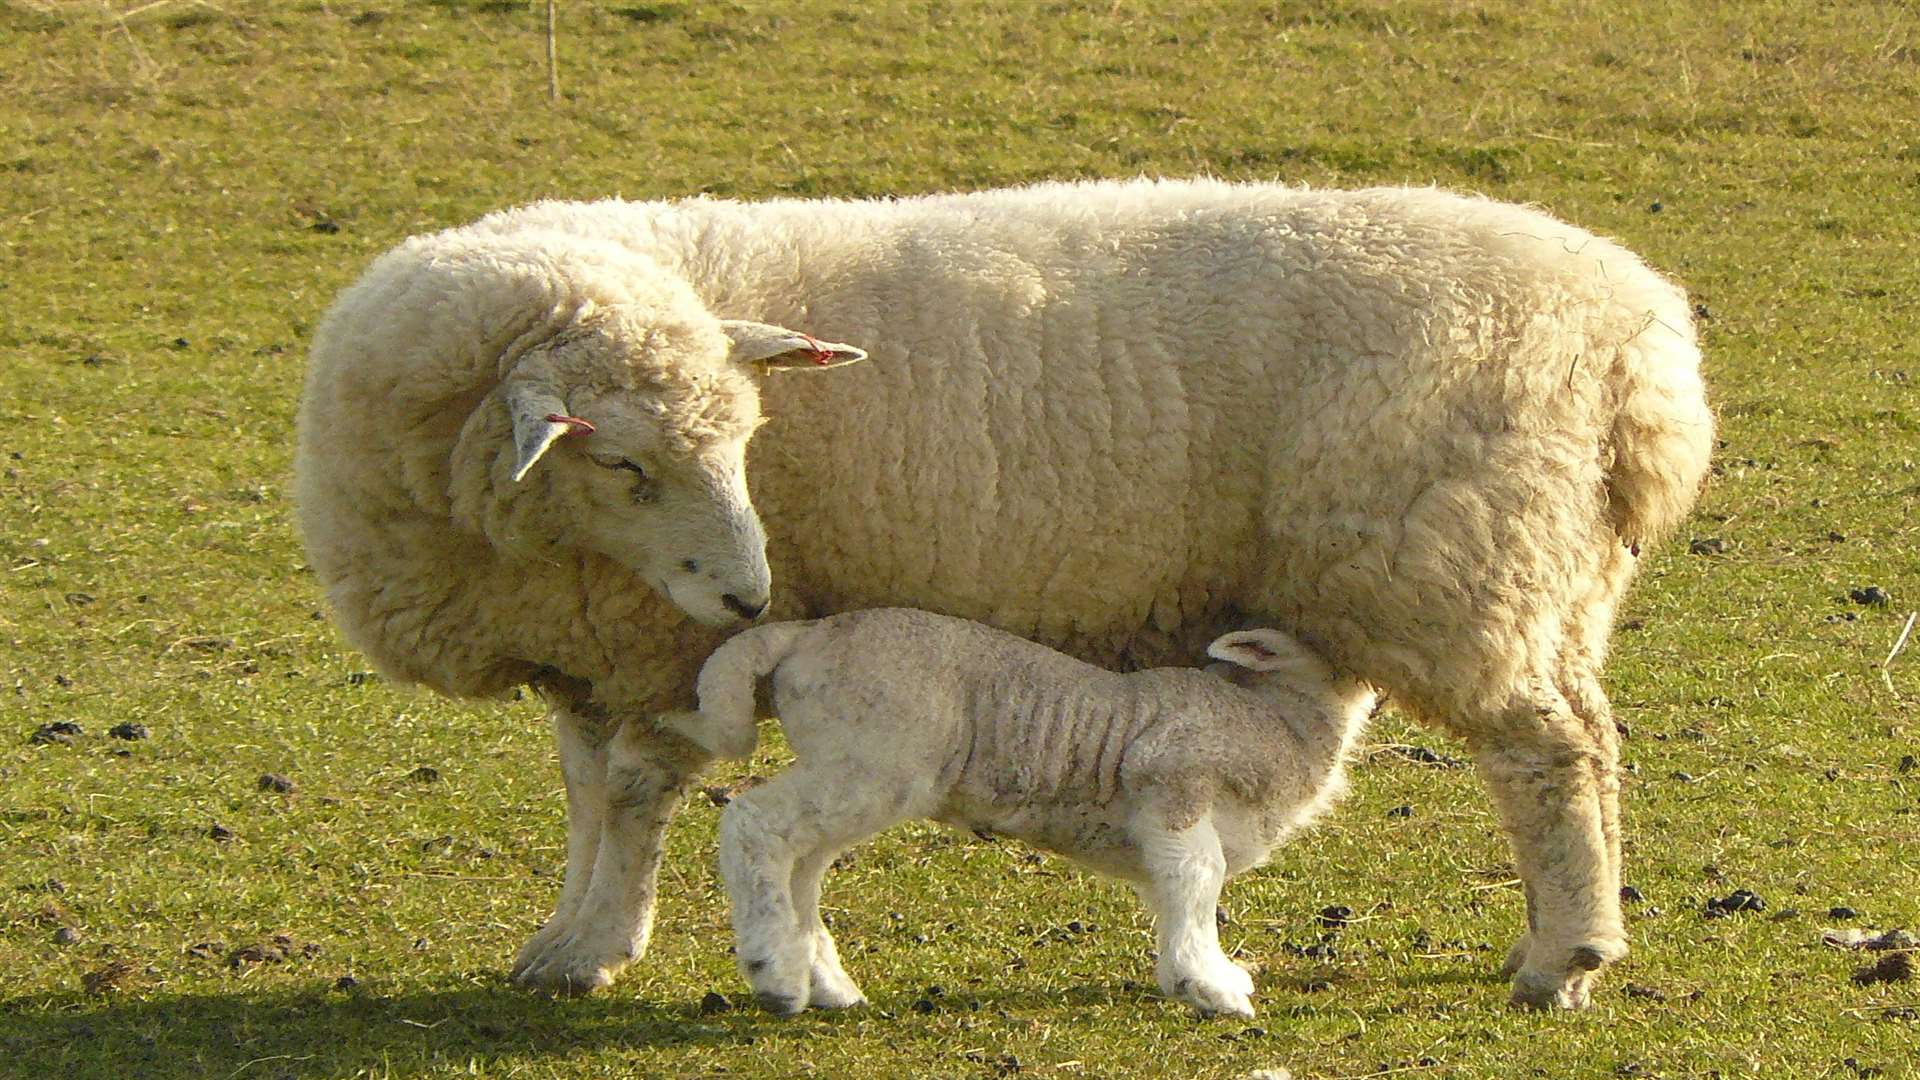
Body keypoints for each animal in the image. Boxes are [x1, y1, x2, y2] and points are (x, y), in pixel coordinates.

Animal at [668, 611, 1374, 1014]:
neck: (1283, 722)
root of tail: (803, 635)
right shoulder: (1173, 783)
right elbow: (1197, 881)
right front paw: (1207, 985)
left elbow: (1186, 893)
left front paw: (1206, 972)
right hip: (870, 762)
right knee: (752, 824)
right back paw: (775, 973)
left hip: (851, 770)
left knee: (800, 863)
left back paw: (822, 981)